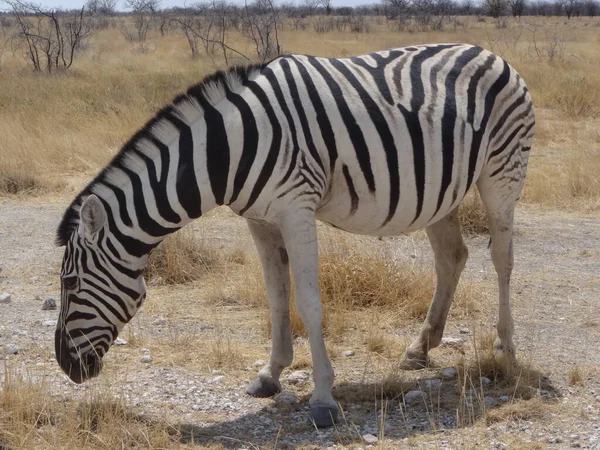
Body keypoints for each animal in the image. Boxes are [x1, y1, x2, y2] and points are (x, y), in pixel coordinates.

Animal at [55, 44, 536, 428]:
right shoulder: (259, 219)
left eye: (69, 283)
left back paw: (506, 347)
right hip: (441, 190)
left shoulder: (296, 209)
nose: (65, 365)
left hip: (502, 173)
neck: (226, 149)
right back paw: (420, 348)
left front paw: (323, 398)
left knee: (503, 258)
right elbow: (275, 295)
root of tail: (489, 52)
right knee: (451, 257)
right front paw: (270, 375)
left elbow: (307, 301)